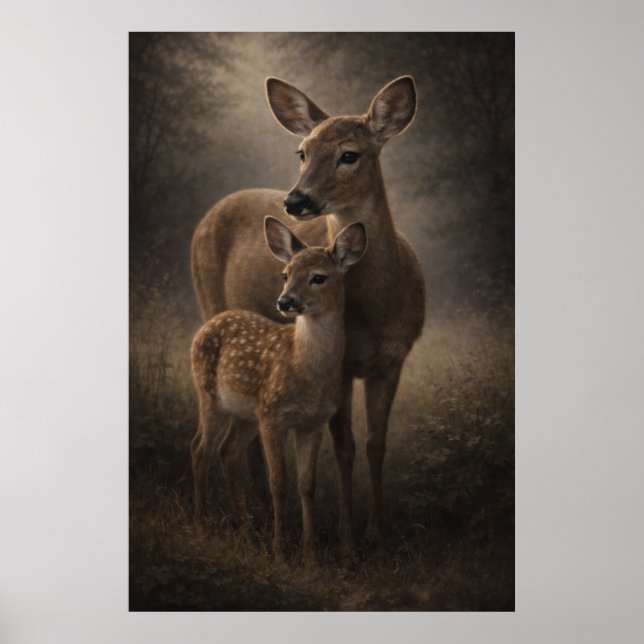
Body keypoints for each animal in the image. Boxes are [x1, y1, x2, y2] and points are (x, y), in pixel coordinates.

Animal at [191, 216, 367, 561]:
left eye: (318, 277)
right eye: (285, 274)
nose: (284, 301)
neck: (306, 370)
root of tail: (206, 326)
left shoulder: (312, 422)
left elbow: (307, 484)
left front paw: (310, 553)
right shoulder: (273, 414)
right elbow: (278, 482)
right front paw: (280, 551)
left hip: (246, 414)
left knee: (227, 450)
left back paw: (245, 529)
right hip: (209, 394)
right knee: (200, 448)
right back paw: (201, 524)